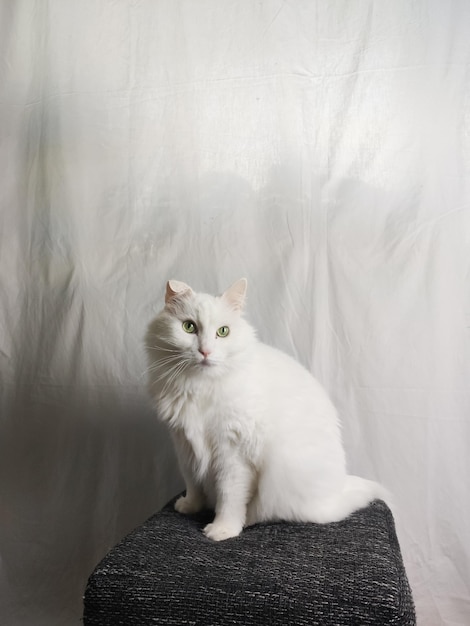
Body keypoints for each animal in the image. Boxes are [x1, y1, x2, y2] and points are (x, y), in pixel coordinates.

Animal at [145, 276, 388, 540]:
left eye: (223, 332)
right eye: (189, 327)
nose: (205, 352)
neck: (199, 386)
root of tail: (338, 491)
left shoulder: (233, 453)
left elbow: (229, 496)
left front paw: (223, 529)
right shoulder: (184, 444)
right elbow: (192, 482)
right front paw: (190, 506)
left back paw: (248, 520)